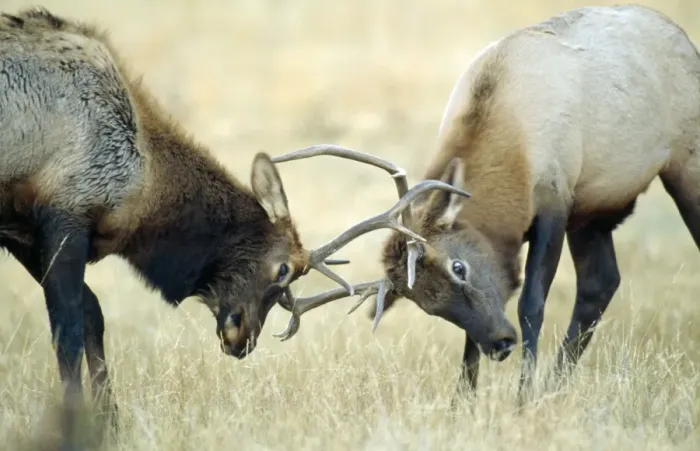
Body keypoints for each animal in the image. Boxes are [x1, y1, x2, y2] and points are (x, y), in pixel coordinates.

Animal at [0, 7, 471, 448]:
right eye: (283, 269)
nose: (243, 337)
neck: (142, 180)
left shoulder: (25, 232)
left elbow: (92, 314)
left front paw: (109, 425)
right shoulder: (64, 215)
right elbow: (68, 330)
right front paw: (74, 428)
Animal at [268, 4, 700, 404]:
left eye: (459, 267)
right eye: (429, 305)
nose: (501, 343)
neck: (513, 152)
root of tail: (685, 39)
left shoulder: (555, 200)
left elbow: (531, 304)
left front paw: (522, 398)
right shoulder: (570, 209)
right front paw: (464, 400)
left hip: (683, 165)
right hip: (592, 214)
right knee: (601, 282)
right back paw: (556, 385)